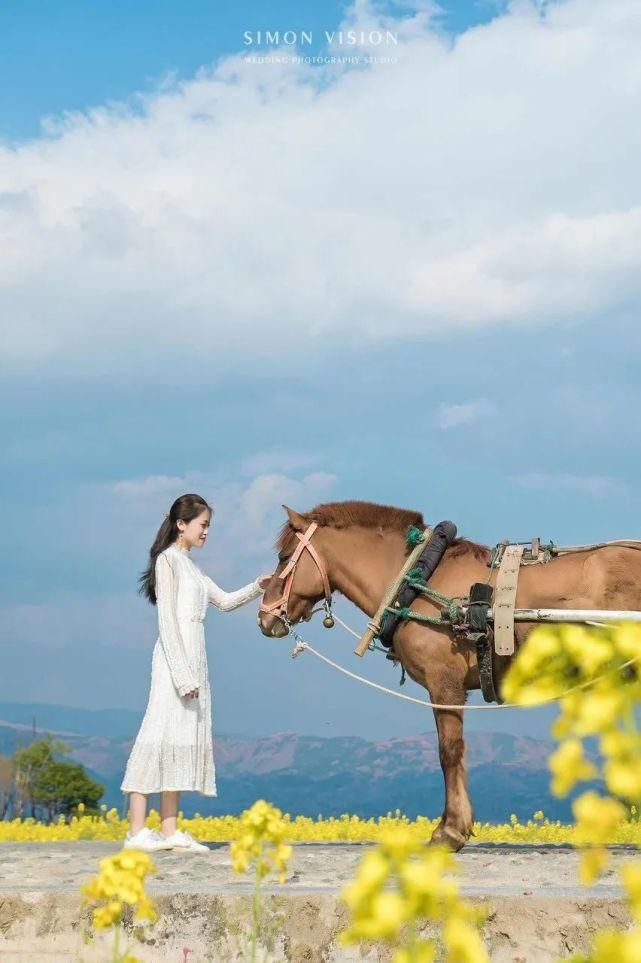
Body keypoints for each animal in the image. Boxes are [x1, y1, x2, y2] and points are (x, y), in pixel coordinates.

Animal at [258, 500, 640, 848]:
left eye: (284, 558)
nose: (265, 616)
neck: (418, 582)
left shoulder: (445, 686)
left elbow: (449, 752)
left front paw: (451, 830)